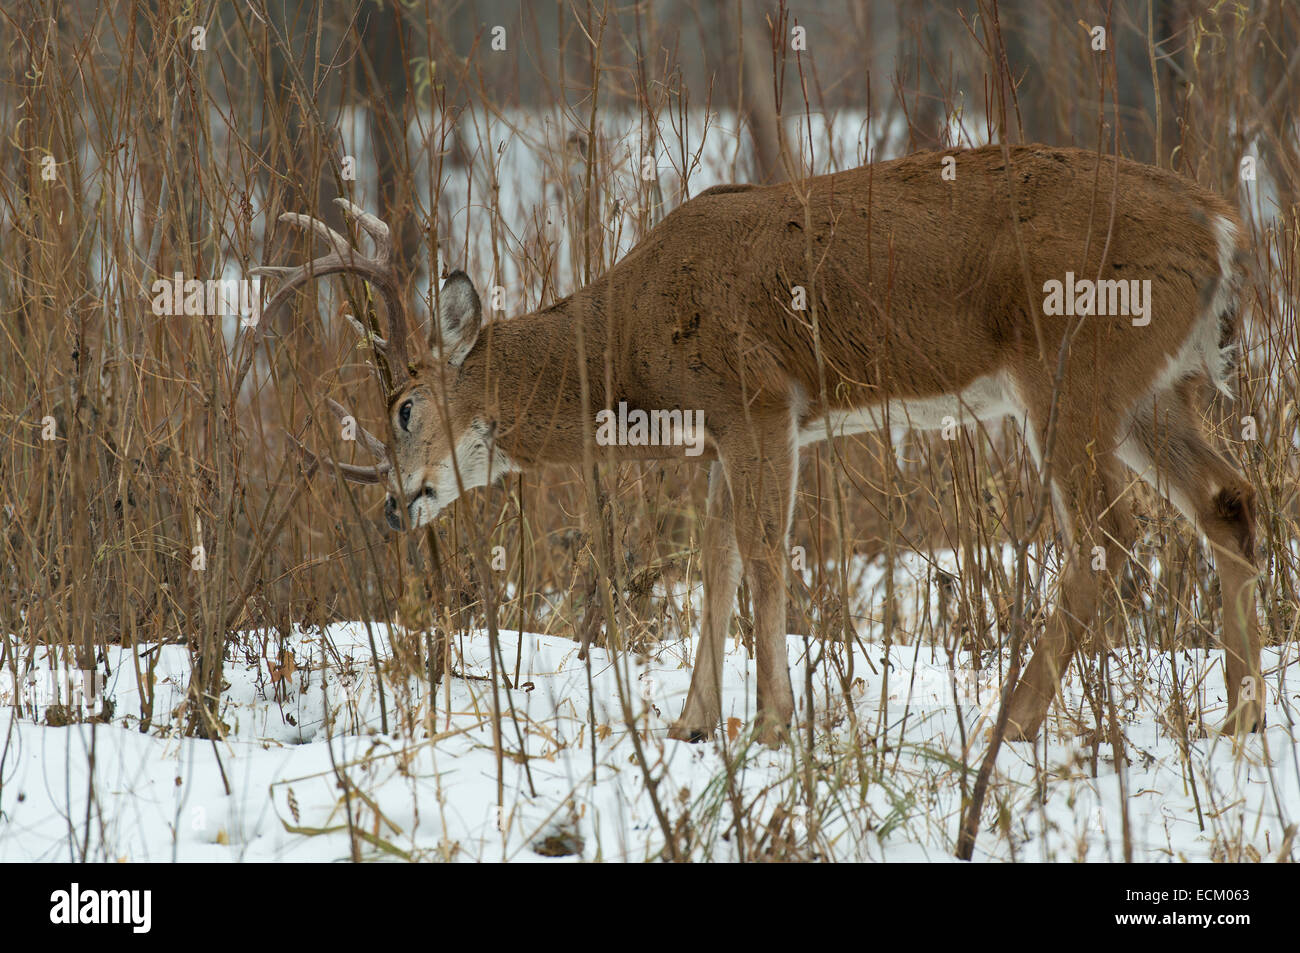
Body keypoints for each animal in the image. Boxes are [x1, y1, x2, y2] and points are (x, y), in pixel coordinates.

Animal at [253, 144, 1258, 748]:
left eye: (405, 407)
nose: (393, 501)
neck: (632, 342)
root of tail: (1225, 230)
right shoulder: (722, 434)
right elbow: (718, 558)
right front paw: (692, 723)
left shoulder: (760, 400)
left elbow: (769, 555)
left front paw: (775, 722)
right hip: (1146, 387)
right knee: (1227, 499)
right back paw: (1241, 716)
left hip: (1068, 371)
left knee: (1110, 538)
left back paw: (1009, 724)